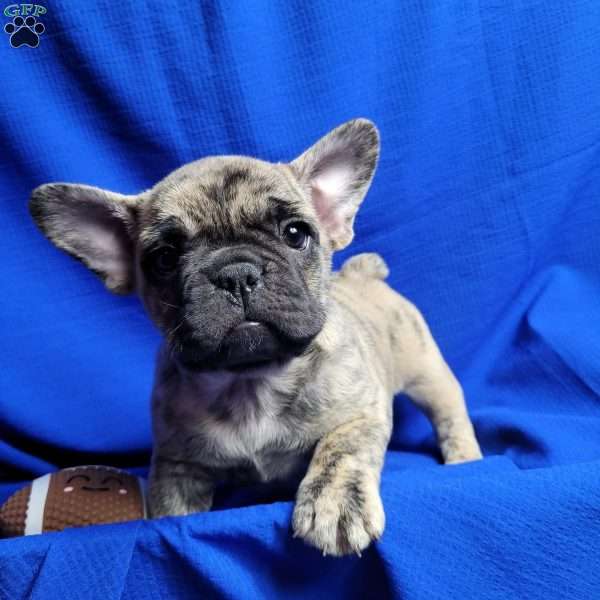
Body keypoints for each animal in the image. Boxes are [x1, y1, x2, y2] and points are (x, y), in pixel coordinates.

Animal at [29, 119, 482, 556]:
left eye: (296, 234)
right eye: (165, 259)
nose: (236, 273)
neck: (251, 380)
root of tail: (363, 275)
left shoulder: (361, 413)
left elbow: (341, 451)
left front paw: (335, 504)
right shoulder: (177, 462)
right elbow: (171, 504)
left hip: (428, 373)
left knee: (450, 415)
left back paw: (464, 457)